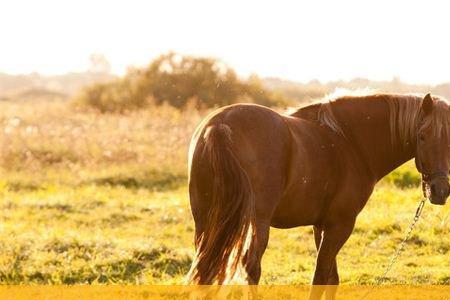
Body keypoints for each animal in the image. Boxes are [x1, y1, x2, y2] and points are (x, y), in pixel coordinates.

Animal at [185, 92, 448, 298]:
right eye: (422, 136)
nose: (440, 191)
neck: (350, 142)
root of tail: (218, 127)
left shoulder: (321, 225)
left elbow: (331, 278)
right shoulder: (340, 225)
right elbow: (321, 276)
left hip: (207, 221)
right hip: (255, 223)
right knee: (251, 269)